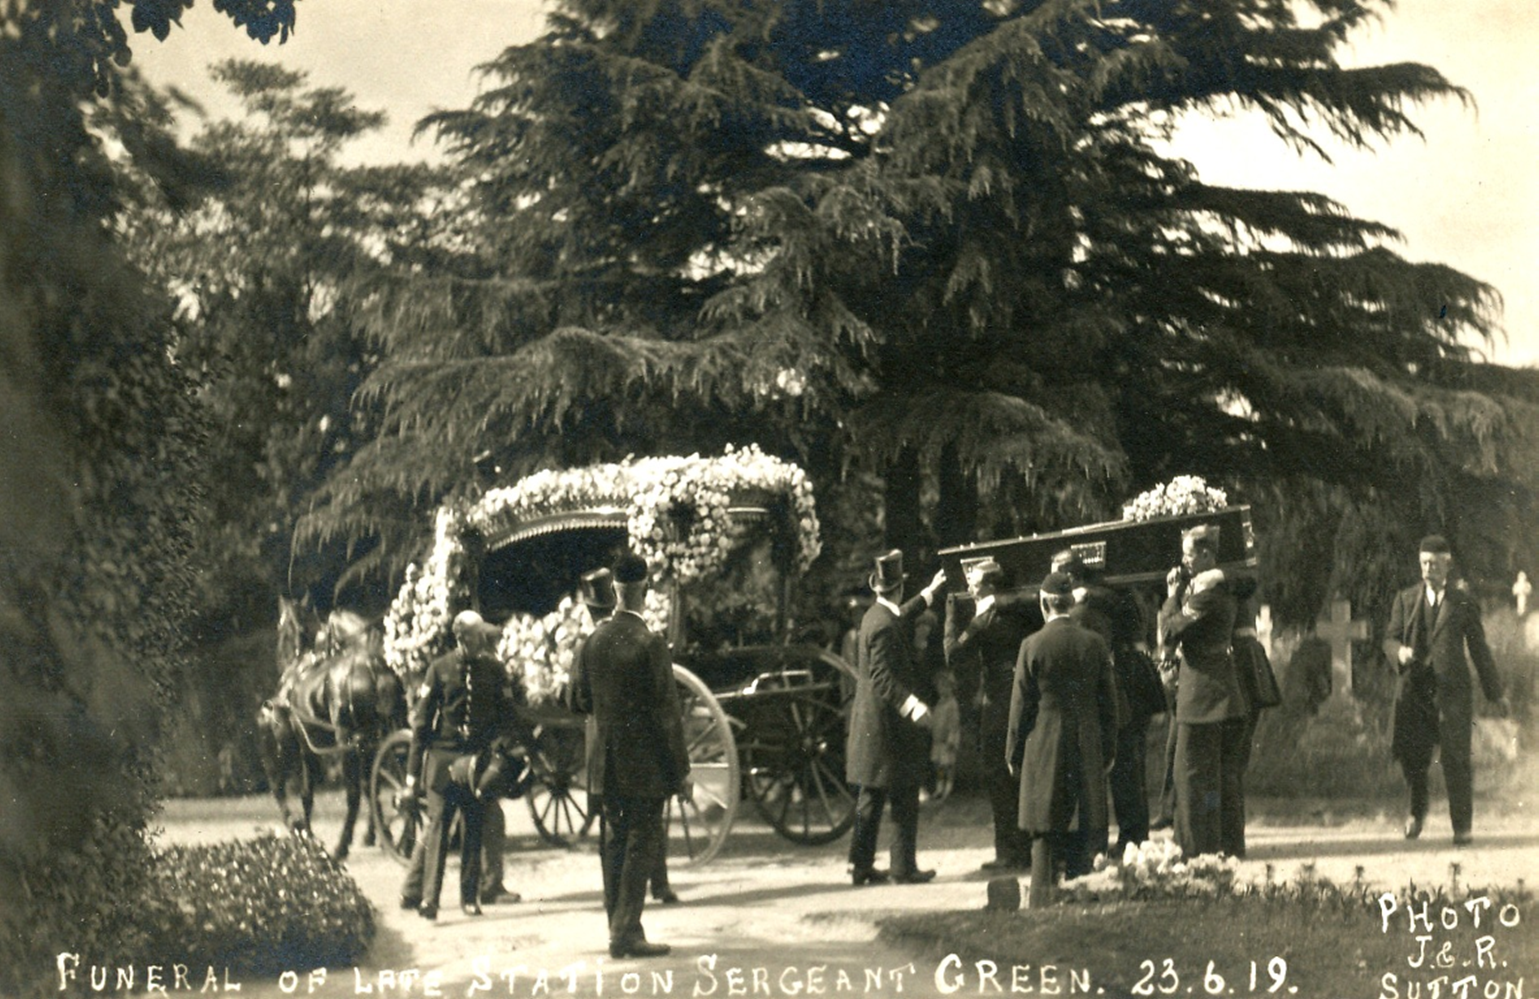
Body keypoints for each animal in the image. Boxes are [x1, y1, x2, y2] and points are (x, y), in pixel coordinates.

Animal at [258, 600, 406, 855]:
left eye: (281, 627)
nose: (280, 658)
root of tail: (372, 666)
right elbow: (370, 786)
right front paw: (377, 833)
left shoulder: (304, 746)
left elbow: (307, 792)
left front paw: (307, 833)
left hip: (345, 739)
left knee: (352, 793)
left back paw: (341, 844)